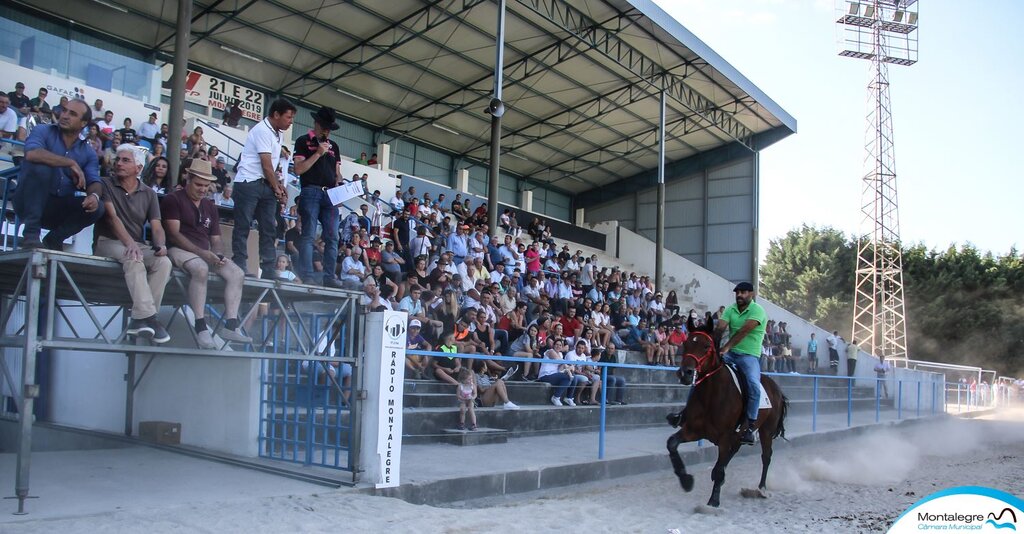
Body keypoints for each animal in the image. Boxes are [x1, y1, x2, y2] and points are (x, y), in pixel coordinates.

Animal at [667, 317, 786, 506]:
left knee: (766, 456)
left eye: (706, 346)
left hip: (766, 430)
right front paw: (686, 480)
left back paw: (762, 488)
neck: (712, 395)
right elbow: (672, 444)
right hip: (739, 434)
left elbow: (720, 468)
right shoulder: (693, 430)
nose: (686, 373)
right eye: (685, 343)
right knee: (735, 450)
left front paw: (714, 500)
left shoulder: (724, 437)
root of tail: (777, 389)